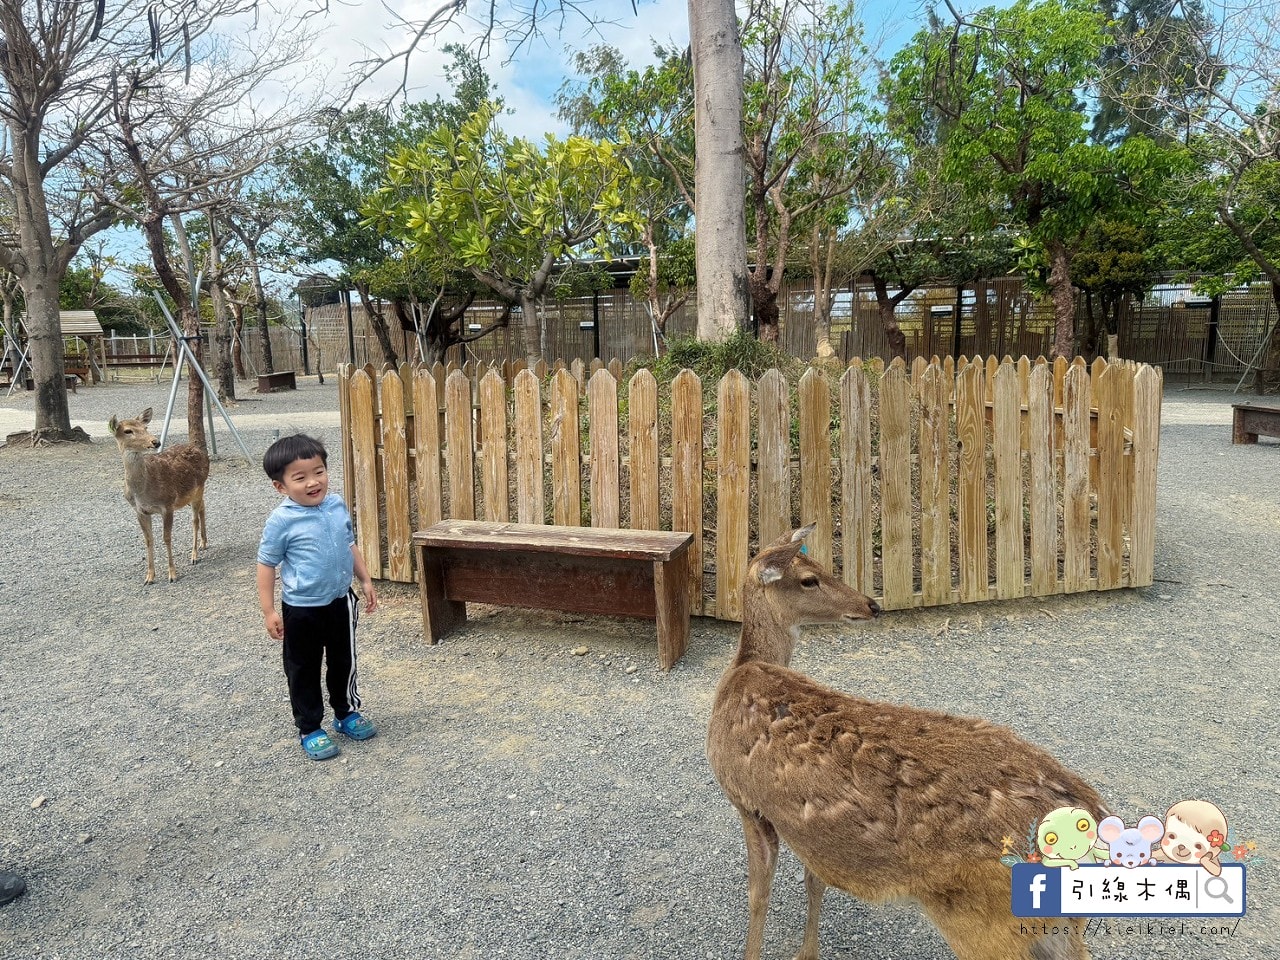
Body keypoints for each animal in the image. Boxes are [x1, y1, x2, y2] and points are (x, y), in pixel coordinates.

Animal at [108, 408, 210, 584]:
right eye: (128, 431)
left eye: (145, 427)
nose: (156, 442)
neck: (143, 491)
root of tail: (200, 450)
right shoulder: (139, 511)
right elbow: (148, 540)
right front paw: (149, 577)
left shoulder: (167, 505)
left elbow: (166, 537)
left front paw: (172, 574)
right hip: (191, 495)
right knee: (203, 507)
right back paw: (203, 543)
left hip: (200, 486)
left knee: (195, 520)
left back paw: (194, 555)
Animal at [707, 524, 1102, 960]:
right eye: (810, 578)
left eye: (821, 569)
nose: (871, 604)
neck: (744, 671)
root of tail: (1093, 814)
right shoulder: (805, 834)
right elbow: (813, 883)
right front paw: (807, 952)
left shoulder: (744, 799)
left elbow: (757, 895)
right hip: (1057, 925)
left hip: (985, 921)